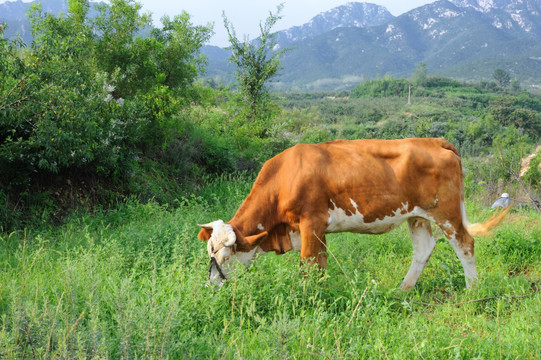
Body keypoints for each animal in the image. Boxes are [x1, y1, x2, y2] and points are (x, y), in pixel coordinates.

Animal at [196, 138, 508, 290]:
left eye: (226, 257)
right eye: (209, 254)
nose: (213, 284)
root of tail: (435, 140)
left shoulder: (311, 223)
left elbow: (308, 267)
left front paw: (307, 298)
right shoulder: (314, 231)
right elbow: (319, 265)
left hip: (446, 212)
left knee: (465, 245)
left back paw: (472, 289)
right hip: (416, 215)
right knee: (423, 249)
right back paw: (402, 290)